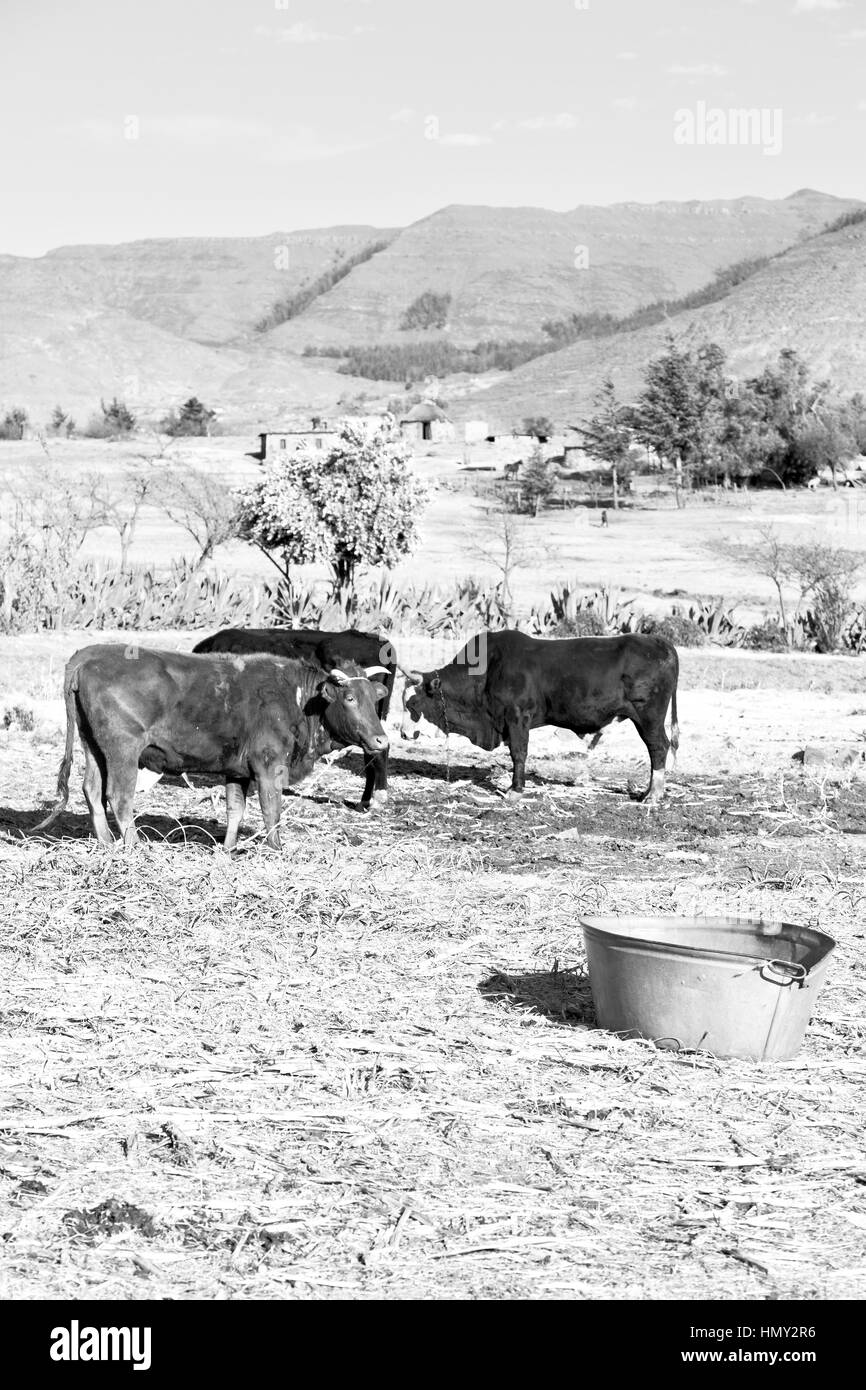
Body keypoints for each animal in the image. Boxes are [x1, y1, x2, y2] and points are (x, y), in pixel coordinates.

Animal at [33, 644, 386, 850]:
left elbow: (235, 810)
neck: (297, 697)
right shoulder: (269, 766)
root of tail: (89, 654)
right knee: (118, 797)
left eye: (375, 698)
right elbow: (271, 810)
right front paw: (278, 849)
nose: (382, 740)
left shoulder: (237, 770)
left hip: (93, 745)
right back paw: (135, 848)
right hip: (123, 750)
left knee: (92, 791)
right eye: (350, 698)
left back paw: (107, 845)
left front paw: (228, 850)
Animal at [403, 631, 681, 806]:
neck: (488, 669)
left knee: (659, 747)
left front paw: (515, 790)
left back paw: (653, 794)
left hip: (648, 717)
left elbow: (518, 753)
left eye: (412, 703)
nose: (404, 733)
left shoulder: (517, 717)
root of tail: (659, 642)